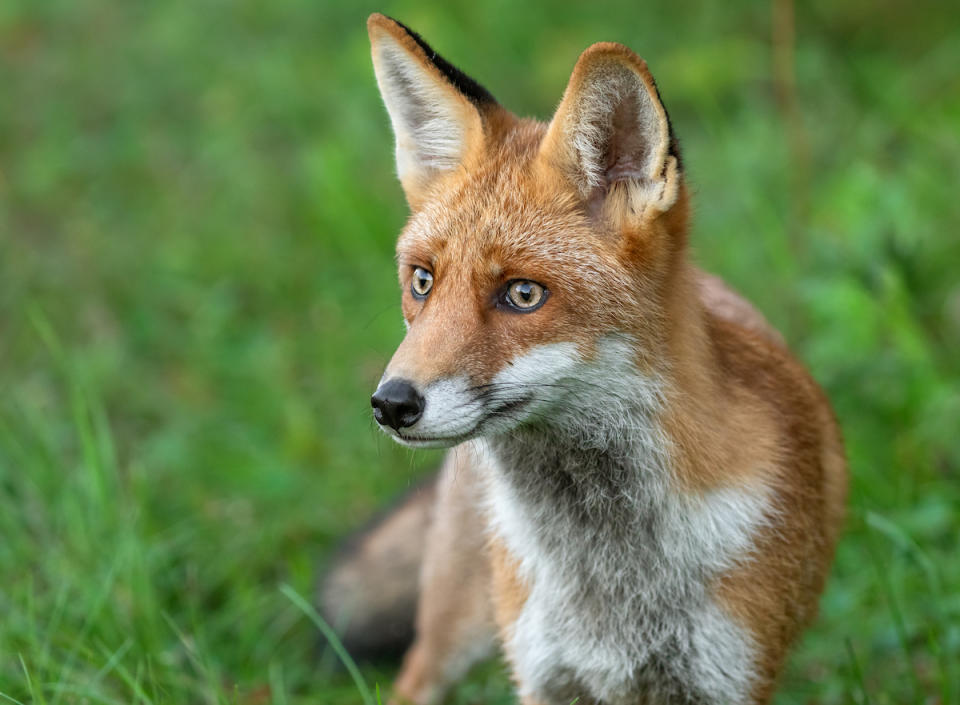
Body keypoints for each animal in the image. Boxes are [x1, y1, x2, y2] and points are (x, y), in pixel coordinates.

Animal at [322, 15, 848, 704]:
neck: (608, 576)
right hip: (455, 633)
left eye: (523, 295)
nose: (391, 403)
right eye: (422, 282)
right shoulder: (545, 673)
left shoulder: (727, 675)